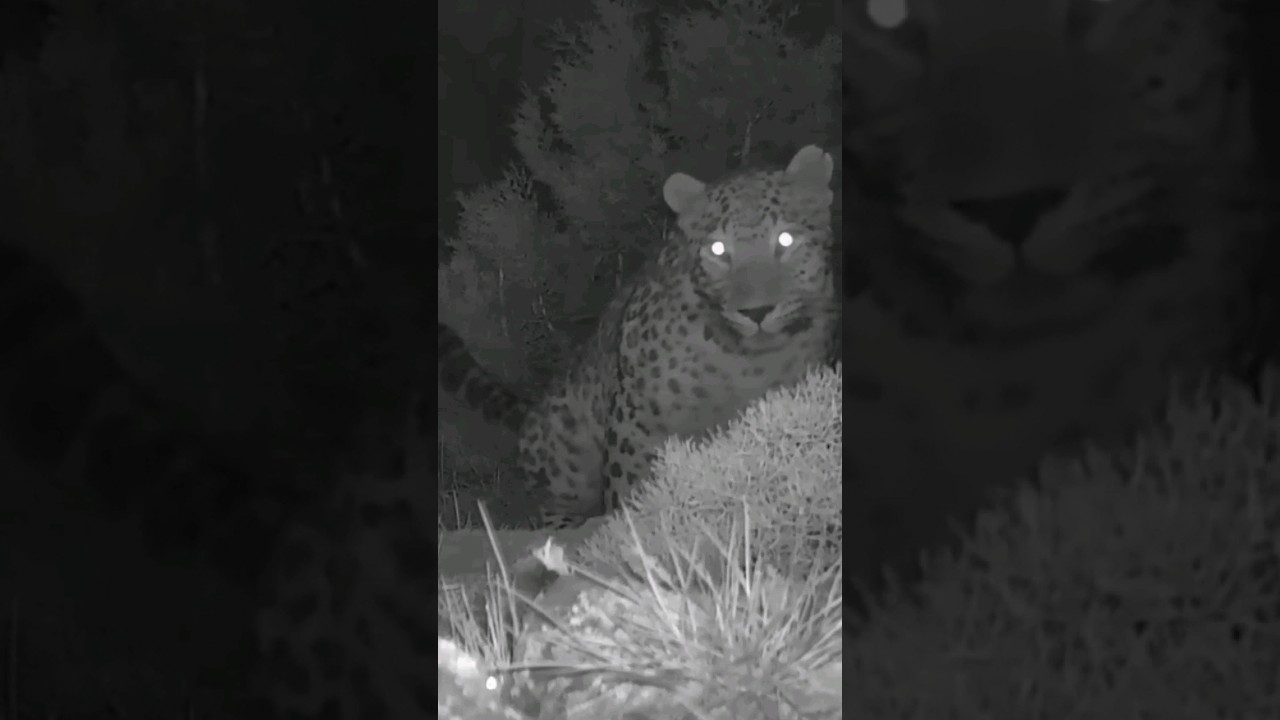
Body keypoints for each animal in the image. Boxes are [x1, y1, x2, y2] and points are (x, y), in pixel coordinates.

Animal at [438, 144, 841, 530]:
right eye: (718, 249)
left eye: (785, 240)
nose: (756, 312)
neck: (746, 362)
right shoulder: (638, 416)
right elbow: (628, 483)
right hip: (565, 445)